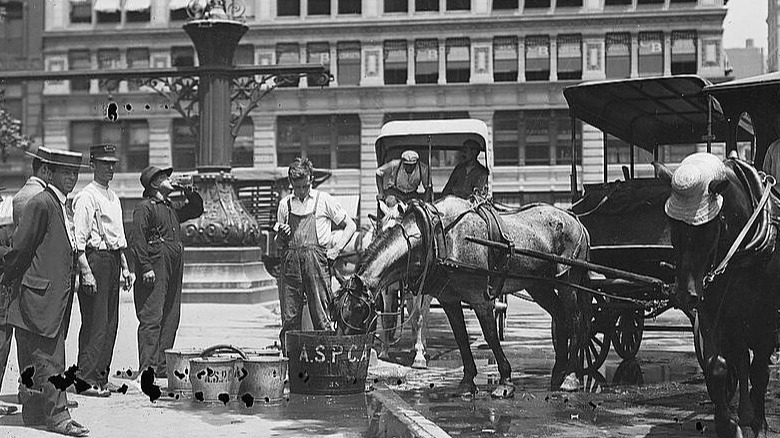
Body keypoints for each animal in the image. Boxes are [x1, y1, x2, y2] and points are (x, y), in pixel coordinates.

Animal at [330, 196, 592, 396]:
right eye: (337, 312)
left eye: (358, 310)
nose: (340, 356)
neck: (437, 237)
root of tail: (576, 220)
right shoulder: (449, 300)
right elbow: (460, 337)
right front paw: (467, 381)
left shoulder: (481, 299)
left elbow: (490, 337)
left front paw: (505, 382)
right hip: (539, 285)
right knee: (560, 318)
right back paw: (558, 373)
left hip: (568, 281)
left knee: (576, 320)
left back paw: (571, 377)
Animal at [660, 151, 780, 438]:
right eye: (672, 225)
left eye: (708, 228)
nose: (684, 295)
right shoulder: (712, 311)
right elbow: (718, 366)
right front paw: (728, 423)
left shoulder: (766, 317)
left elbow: (760, 372)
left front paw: (760, 424)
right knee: (739, 360)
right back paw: (744, 411)